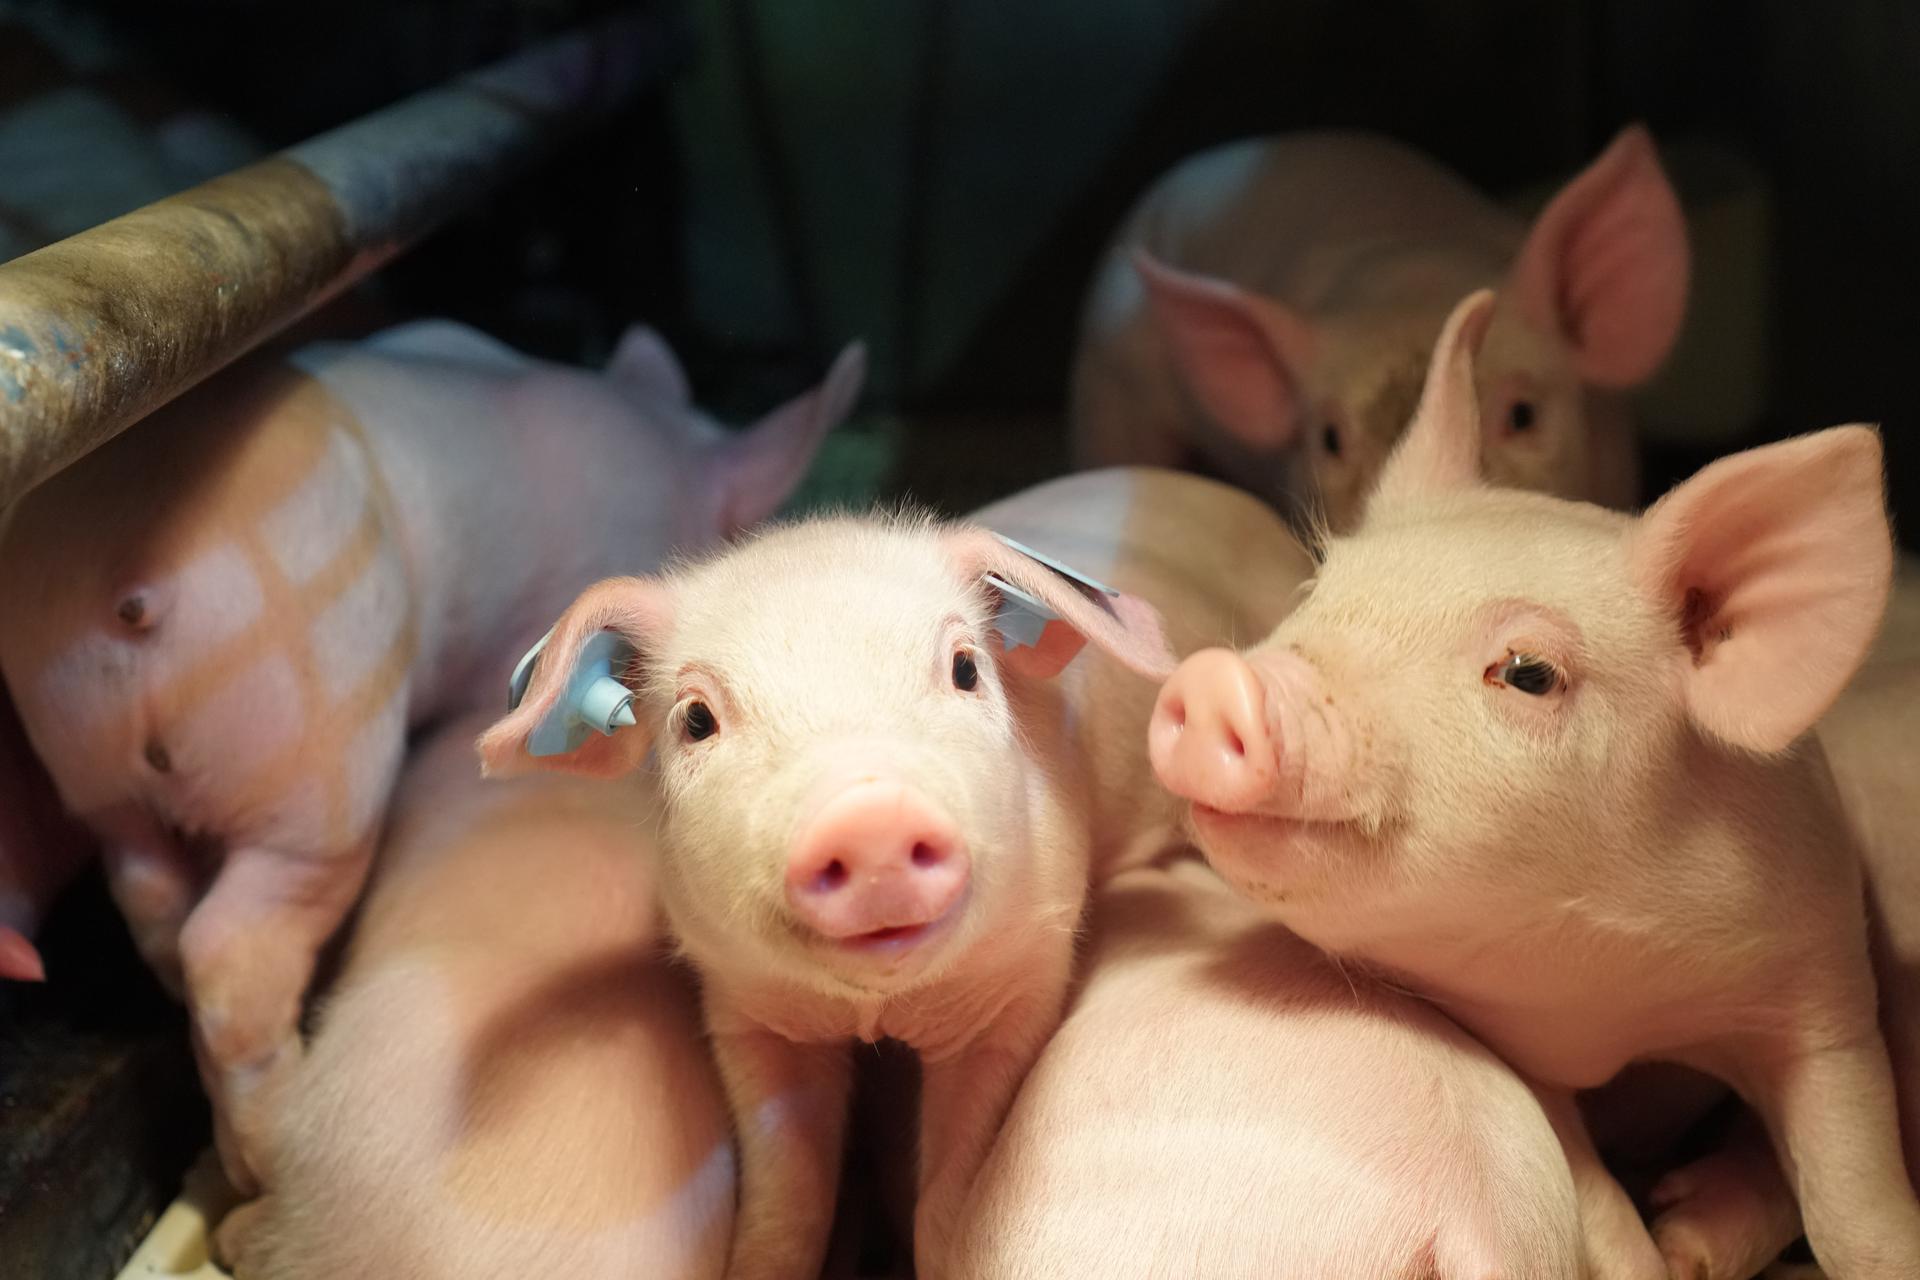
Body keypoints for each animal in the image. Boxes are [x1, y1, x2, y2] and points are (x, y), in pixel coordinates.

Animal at [0, 321, 864, 1191]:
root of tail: (127, 585)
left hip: (86, 748)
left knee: (145, 888)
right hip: (318, 739)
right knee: (231, 938)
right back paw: (268, 1153)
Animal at [478, 467, 1309, 1279]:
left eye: (966, 669)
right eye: (696, 720)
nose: (869, 815)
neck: (875, 1009)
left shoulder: (1020, 979)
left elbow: (946, 1195)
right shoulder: (744, 1004)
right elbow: (788, 1200)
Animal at [1147, 289, 1917, 1278]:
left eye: (1528, 672)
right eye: (1316, 589)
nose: (1215, 680)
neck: (1617, 1003)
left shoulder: (1825, 977)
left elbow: (1857, 1201)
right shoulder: (1520, 1057)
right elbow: (1599, 1214)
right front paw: (1657, 1254)